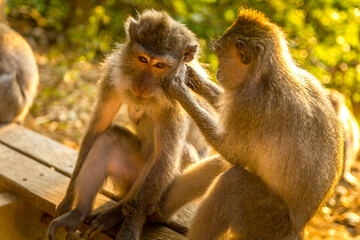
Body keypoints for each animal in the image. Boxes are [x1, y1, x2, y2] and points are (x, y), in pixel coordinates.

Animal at [45, 9, 214, 240]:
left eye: (160, 65)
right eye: (143, 59)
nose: (141, 87)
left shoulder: (176, 99)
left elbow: (166, 157)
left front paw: (131, 225)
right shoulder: (112, 74)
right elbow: (97, 129)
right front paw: (67, 202)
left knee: (177, 155)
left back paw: (118, 213)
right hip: (127, 178)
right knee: (109, 137)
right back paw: (79, 212)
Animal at [160, 8, 344, 240]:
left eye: (220, 54)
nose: (218, 71)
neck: (266, 74)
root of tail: (298, 229)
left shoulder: (250, 104)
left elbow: (232, 151)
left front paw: (180, 91)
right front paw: (196, 79)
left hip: (266, 222)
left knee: (233, 182)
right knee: (222, 165)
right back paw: (155, 214)